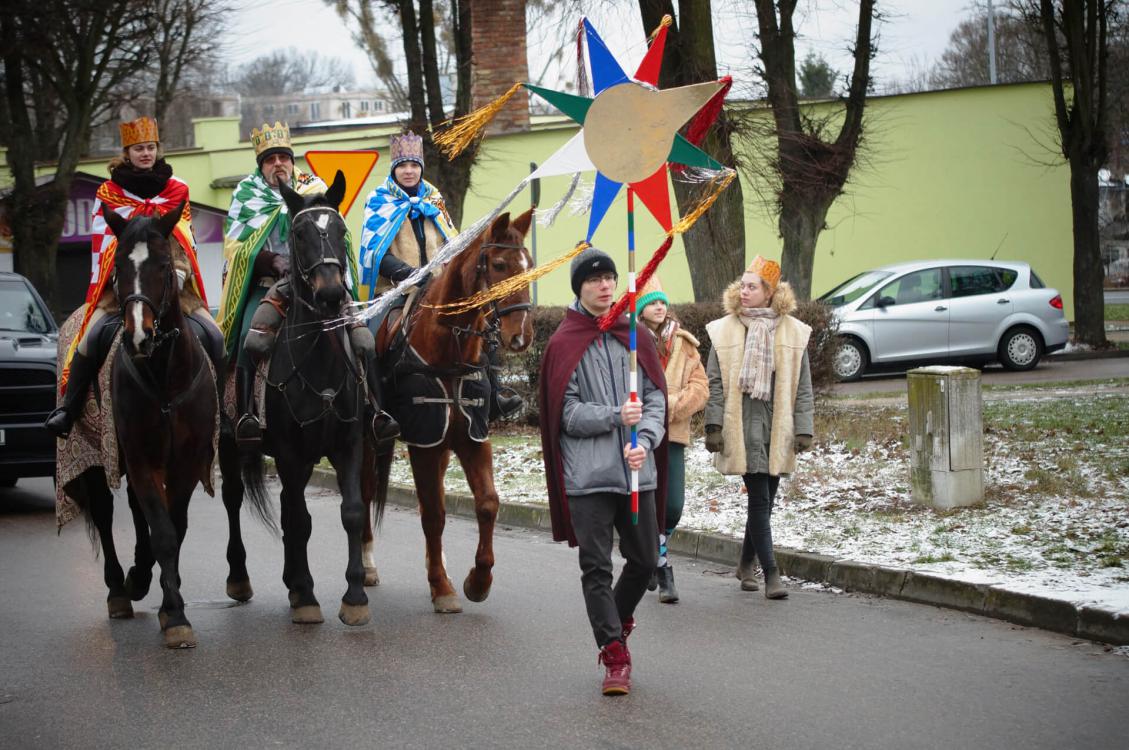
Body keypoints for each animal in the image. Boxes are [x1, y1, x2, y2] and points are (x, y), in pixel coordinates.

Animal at [94, 203, 220, 648]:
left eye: (164, 265)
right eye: (118, 268)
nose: (139, 337)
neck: (164, 377)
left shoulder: (186, 461)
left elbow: (173, 528)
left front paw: (169, 605)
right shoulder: (139, 457)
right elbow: (162, 532)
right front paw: (176, 613)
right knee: (104, 514)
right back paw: (119, 588)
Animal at [224, 171, 375, 627]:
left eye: (340, 229)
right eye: (299, 232)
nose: (330, 293)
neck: (319, 359)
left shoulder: (348, 444)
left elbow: (351, 512)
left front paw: (354, 597)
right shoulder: (290, 452)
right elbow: (301, 520)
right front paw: (307, 596)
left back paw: (292, 582)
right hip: (228, 443)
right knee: (236, 500)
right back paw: (243, 579)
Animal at [364, 209, 535, 613]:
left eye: (529, 264)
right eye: (499, 264)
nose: (521, 336)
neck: (449, 353)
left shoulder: (471, 437)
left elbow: (487, 504)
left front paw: (477, 581)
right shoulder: (424, 442)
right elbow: (434, 515)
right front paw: (441, 588)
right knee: (364, 496)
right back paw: (367, 566)